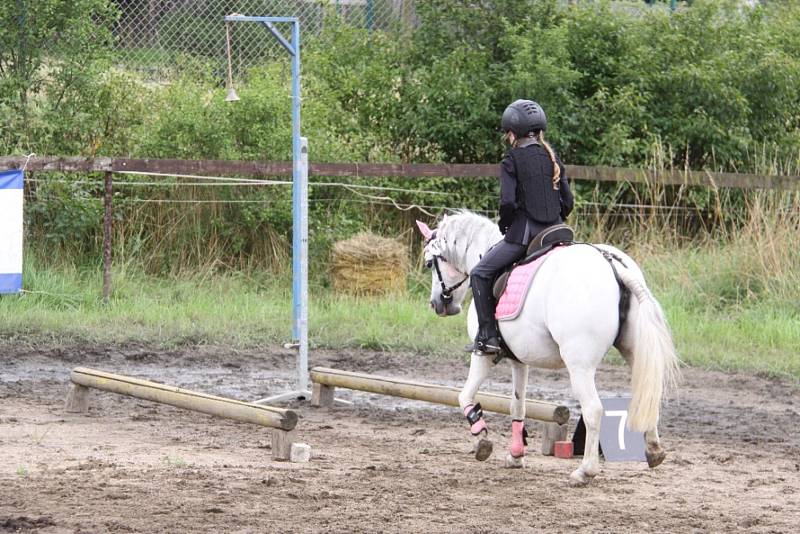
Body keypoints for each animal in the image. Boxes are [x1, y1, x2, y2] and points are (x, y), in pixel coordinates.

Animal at [416, 211, 680, 488]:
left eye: (429, 264)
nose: (437, 304)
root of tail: (612, 265)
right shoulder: (519, 359)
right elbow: (517, 405)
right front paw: (516, 455)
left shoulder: (483, 353)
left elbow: (464, 396)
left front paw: (481, 440)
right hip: (634, 352)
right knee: (649, 395)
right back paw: (654, 451)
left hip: (579, 364)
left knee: (593, 410)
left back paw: (585, 471)